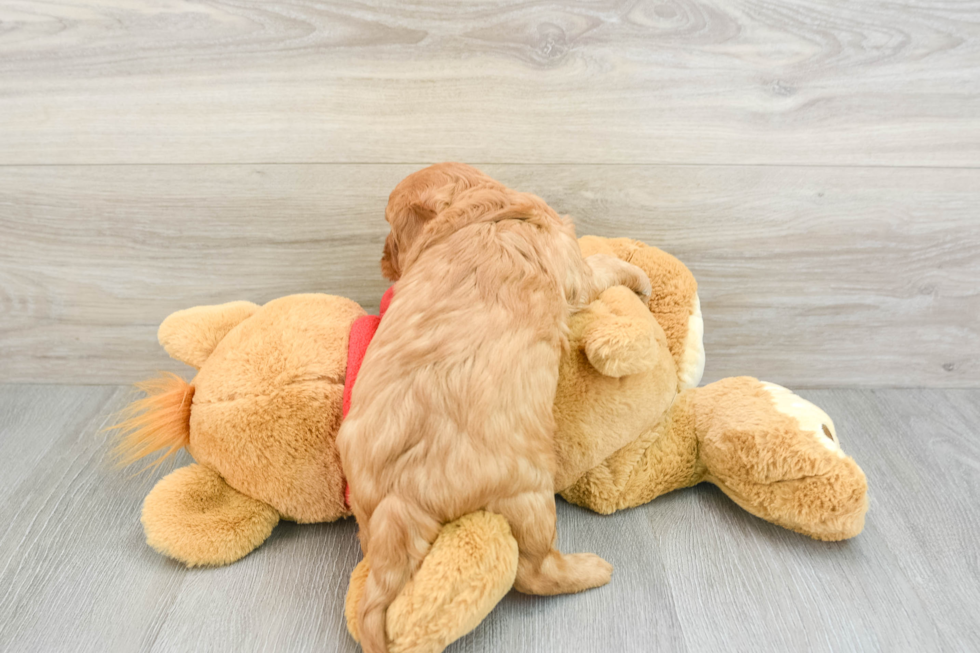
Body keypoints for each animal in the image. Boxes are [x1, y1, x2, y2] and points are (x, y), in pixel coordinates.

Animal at [336, 163, 652, 652]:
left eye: (390, 227)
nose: (384, 261)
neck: (482, 214)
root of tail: (399, 496)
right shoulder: (574, 270)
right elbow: (600, 265)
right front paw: (638, 274)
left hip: (367, 508)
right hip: (527, 494)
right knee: (536, 571)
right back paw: (591, 570)